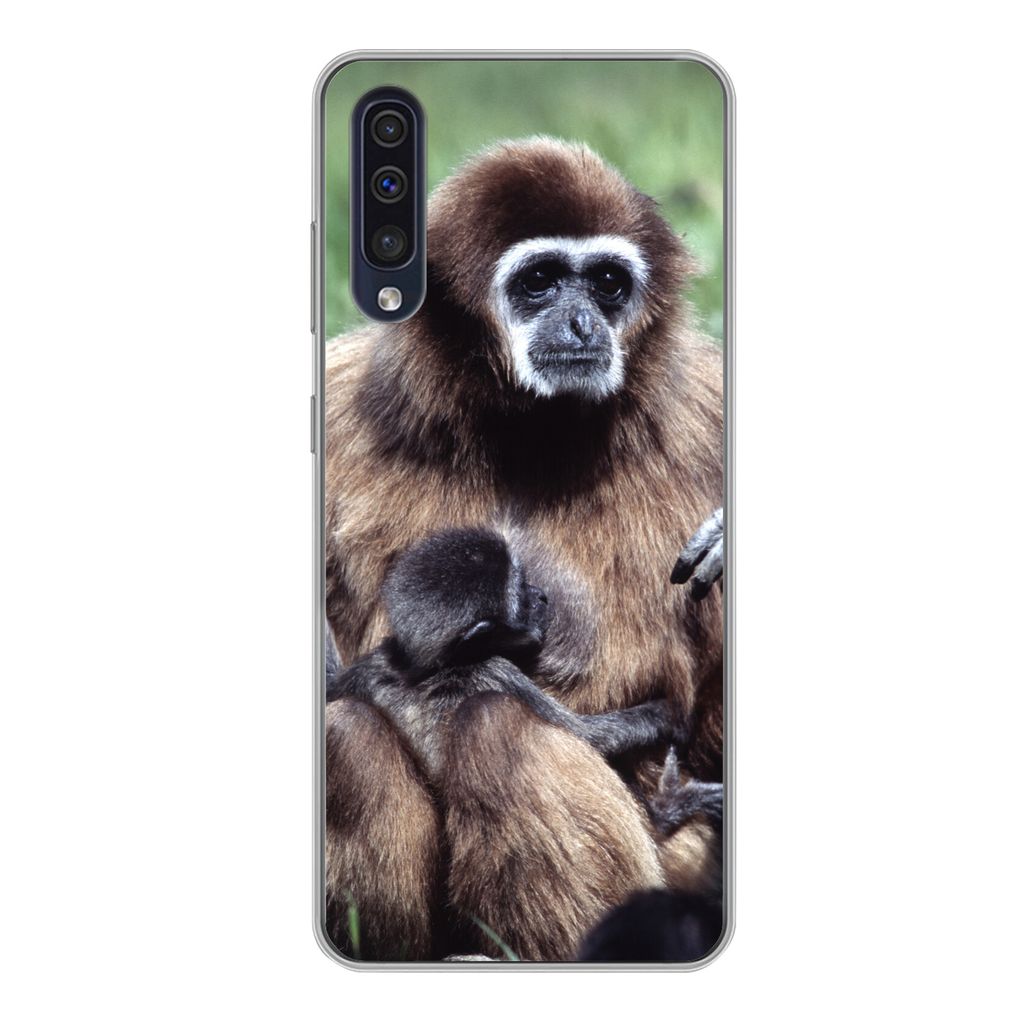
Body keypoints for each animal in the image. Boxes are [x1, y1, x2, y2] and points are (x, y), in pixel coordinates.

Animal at [323, 137, 724, 959]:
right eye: (539, 281)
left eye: (607, 284)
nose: (581, 323)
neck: (528, 438)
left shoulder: (708, 409)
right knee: (349, 736)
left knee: (499, 729)